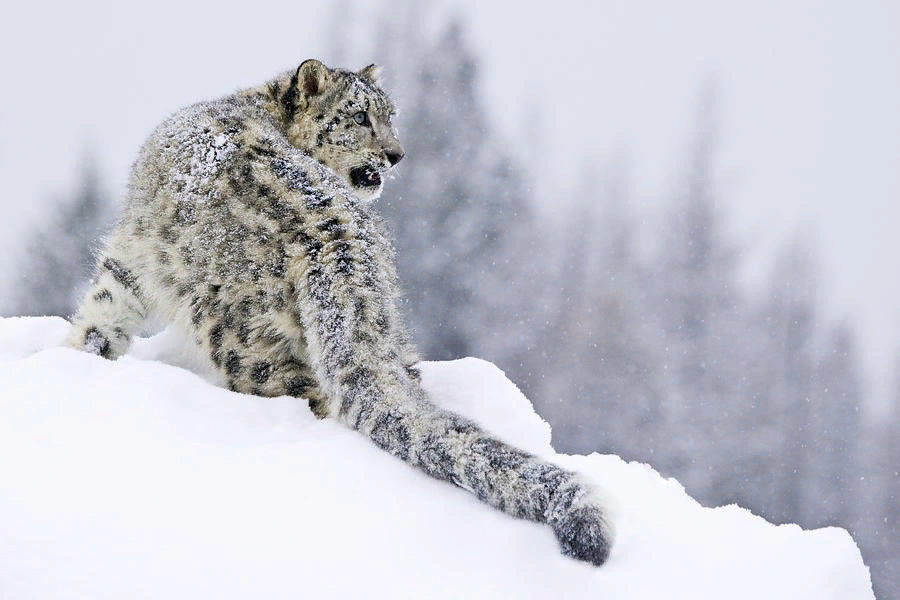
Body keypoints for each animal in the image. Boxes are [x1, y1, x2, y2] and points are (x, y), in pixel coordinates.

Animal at [63, 58, 612, 564]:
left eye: (390, 116)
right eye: (362, 116)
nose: (396, 154)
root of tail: (337, 240)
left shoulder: (135, 253)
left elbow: (105, 308)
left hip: (242, 341)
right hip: (387, 330)